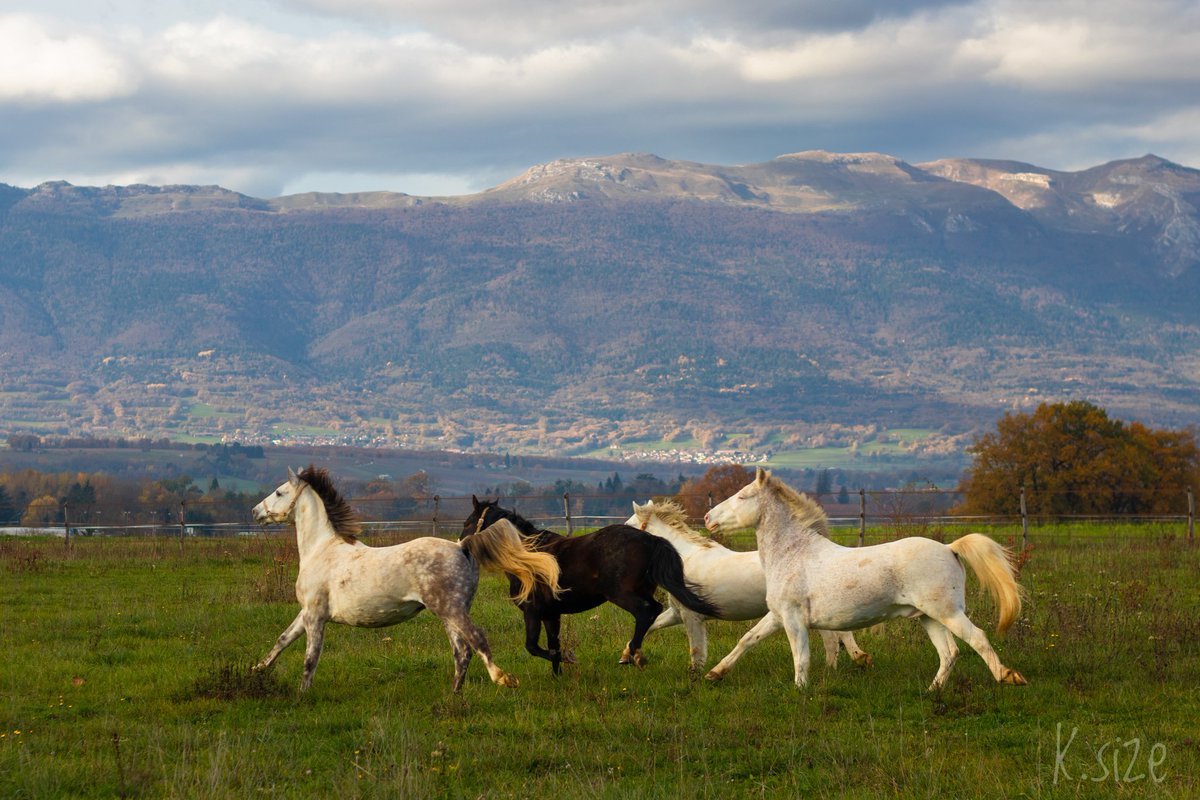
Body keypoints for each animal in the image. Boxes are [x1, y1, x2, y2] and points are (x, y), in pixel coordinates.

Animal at [253, 465, 561, 690]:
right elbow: (282, 640)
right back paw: (454, 694)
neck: (322, 549)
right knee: (462, 652)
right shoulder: (306, 613)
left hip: (450, 609)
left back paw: (503, 678)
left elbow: (310, 659)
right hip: (451, 613)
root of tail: (462, 546)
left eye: (279, 492)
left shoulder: (315, 616)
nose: (255, 511)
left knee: (476, 641)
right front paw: (256, 669)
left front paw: (302, 694)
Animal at [463, 501, 715, 676]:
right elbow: (552, 646)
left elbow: (532, 646)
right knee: (652, 612)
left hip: (621, 594)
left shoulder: (532, 612)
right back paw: (634, 654)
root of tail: (651, 540)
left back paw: (631, 655)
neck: (527, 557)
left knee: (647, 611)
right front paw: (557, 675)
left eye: (467, 523)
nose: (461, 545)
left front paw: (569, 658)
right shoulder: (551, 615)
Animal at [628, 501, 873, 676]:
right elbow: (649, 627)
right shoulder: (676, 613)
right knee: (834, 636)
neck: (684, 559)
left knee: (835, 637)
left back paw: (850, 661)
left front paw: (696, 676)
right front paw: (632, 657)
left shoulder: (691, 616)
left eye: (628, 527)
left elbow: (696, 651)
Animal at [700, 472, 1032, 690]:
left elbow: (801, 656)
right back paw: (932, 692)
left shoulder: (793, 619)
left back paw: (1008, 676)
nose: (707, 518)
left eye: (743, 496)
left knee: (977, 638)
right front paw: (715, 673)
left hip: (947, 612)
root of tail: (950, 548)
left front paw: (800, 690)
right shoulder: (778, 615)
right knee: (949, 653)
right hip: (928, 617)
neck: (793, 553)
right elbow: (748, 639)